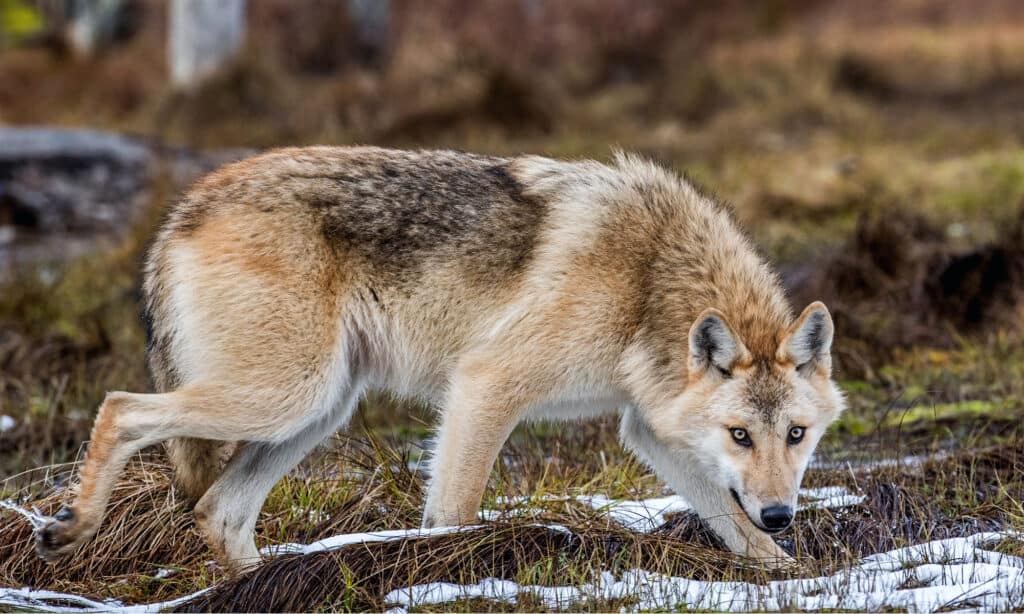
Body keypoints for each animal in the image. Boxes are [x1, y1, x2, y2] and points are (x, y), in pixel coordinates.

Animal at [36, 147, 843, 568]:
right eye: (740, 435)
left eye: (796, 436)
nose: (782, 513)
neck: (650, 281)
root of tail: (179, 210)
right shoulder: (485, 386)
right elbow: (452, 512)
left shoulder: (650, 431)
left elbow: (736, 531)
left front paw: (789, 577)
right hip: (284, 398)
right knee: (122, 408)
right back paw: (70, 526)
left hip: (315, 414)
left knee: (218, 512)